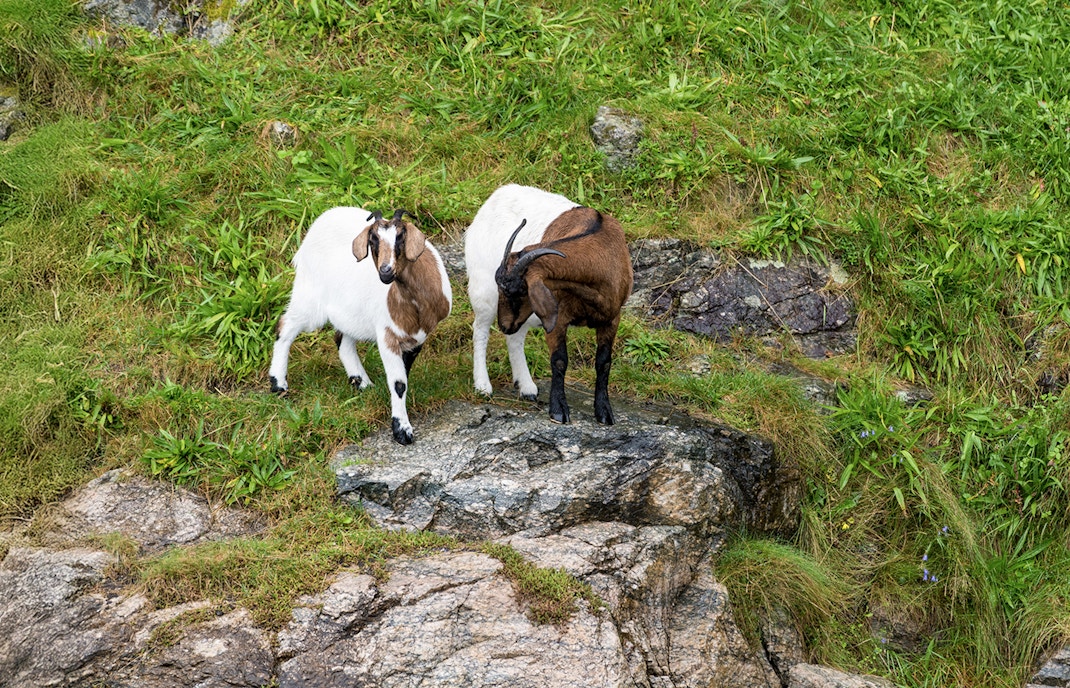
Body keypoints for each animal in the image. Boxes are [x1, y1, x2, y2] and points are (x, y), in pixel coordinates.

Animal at [269, 207, 452, 445]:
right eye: (372, 240)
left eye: (400, 237)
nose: (385, 271)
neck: (415, 304)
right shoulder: (387, 335)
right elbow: (398, 383)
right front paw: (402, 431)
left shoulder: (417, 337)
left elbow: (404, 376)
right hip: (309, 298)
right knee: (285, 326)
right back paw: (278, 385)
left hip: (348, 312)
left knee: (342, 341)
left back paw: (362, 382)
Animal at [465, 184, 633, 424]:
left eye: (520, 290)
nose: (504, 324)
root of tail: (496, 196)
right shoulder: (558, 317)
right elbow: (559, 360)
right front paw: (559, 410)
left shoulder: (611, 318)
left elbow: (604, 362)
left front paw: (604, 412)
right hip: (484, 291)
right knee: (480, 331)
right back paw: (483, 386)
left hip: (525, 315)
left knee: (515, 338)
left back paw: (526, 387)